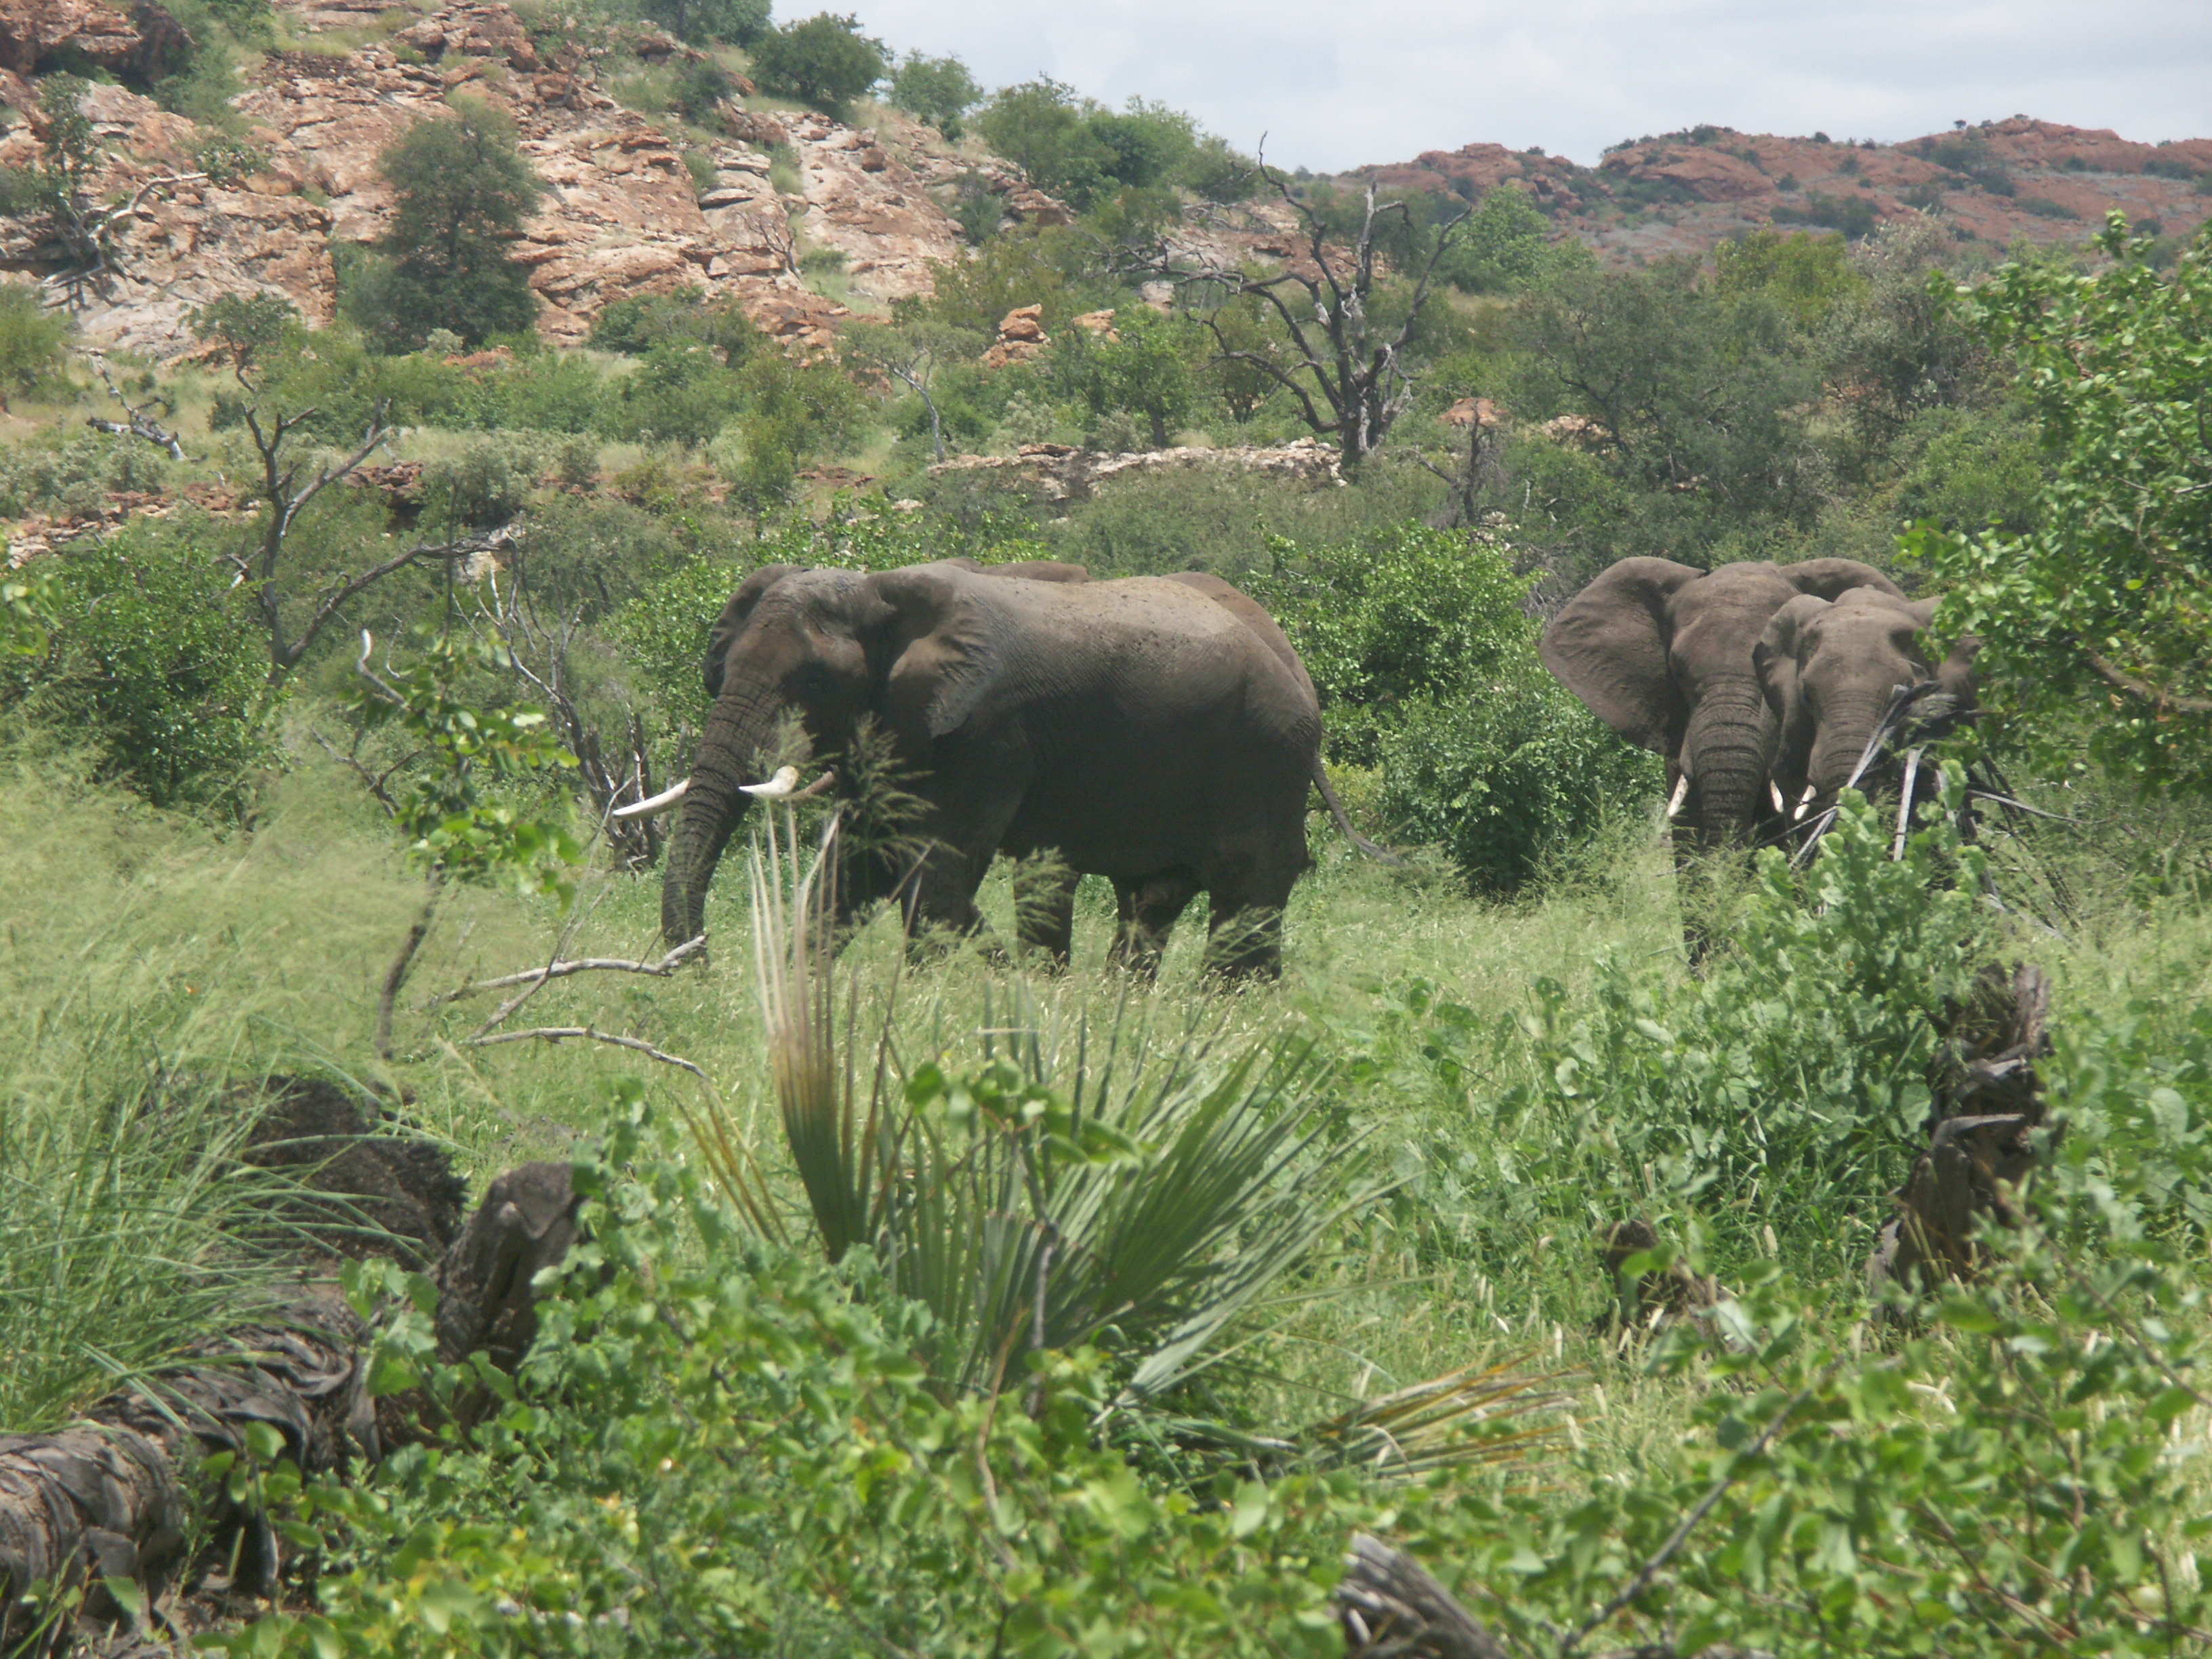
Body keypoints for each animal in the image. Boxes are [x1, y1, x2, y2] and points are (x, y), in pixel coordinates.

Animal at [646, 559, 1353, 982]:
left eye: (815, 681)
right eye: (723, 670)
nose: (699, 968)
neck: (882, 591)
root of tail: (1296, 668)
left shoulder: (981, 732)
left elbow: (933, 868)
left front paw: (959, 992)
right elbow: (855, 869)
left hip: (1264, 757)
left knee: (1248, 887)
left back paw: (1226, 1009)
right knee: (1158, 894)